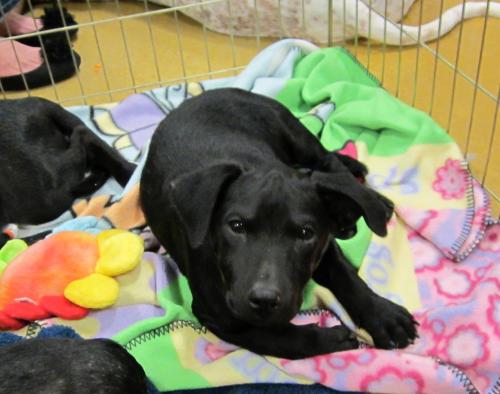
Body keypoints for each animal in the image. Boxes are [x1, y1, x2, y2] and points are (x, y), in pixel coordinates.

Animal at [141, 88, 418, 360]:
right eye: (236, 226)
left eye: (306, 233)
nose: (264, 300)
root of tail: (202, 94)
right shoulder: (219, 317)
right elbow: (274, 337)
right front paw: (328, 338)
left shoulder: (323, 245)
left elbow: (346, 275)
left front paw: (384, 315)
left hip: (293, 133)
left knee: (329, 163)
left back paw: (370, 202)